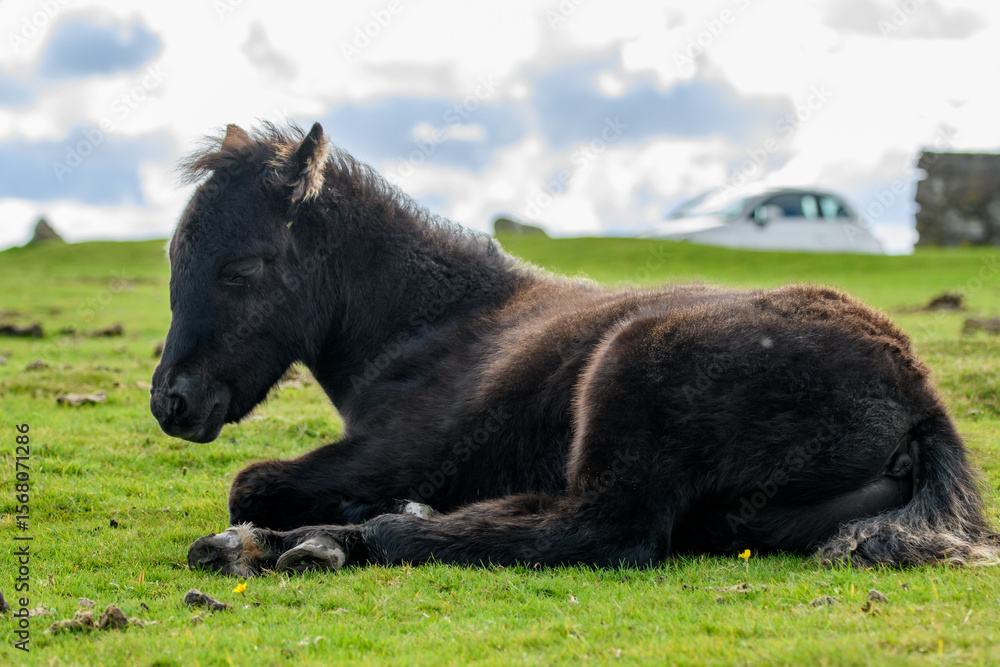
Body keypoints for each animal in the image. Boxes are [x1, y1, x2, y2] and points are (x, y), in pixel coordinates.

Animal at [150, 122, 997, 576]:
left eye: (241, 267)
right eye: (173, 255)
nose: (171, 401)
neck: (437, 327)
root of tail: (917, 393)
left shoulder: (392, 453)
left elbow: (250, 481)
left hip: (629, 368)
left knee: (598, 528)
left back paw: (323, 539)